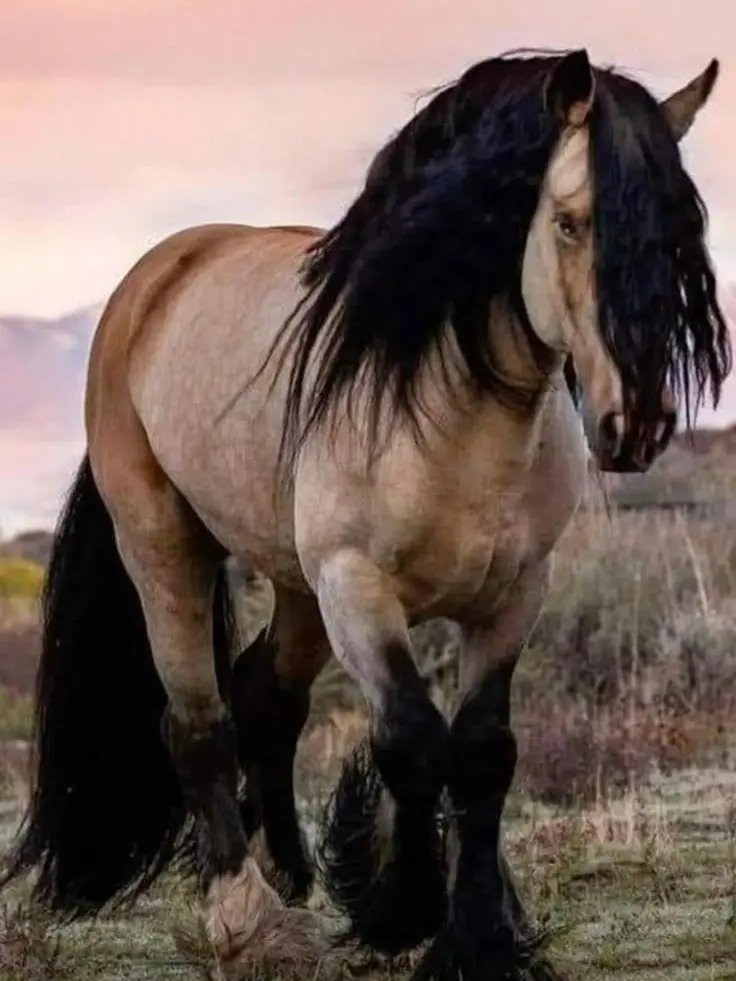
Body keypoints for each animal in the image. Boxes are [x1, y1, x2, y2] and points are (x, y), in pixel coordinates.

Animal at [1, 47, 730, 981]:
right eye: (570, 224)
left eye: (679, 236)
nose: (634, 424)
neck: (454, 410)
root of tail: (159, 276)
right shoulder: (359, 591)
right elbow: (412, 741)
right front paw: (400, 911)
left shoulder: (512, 598)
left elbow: (483, 752)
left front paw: (479, 936)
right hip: (168, 550)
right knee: (197, 722)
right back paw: (247, 918)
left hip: (297, 588)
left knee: (266, 699)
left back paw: (290, 873)